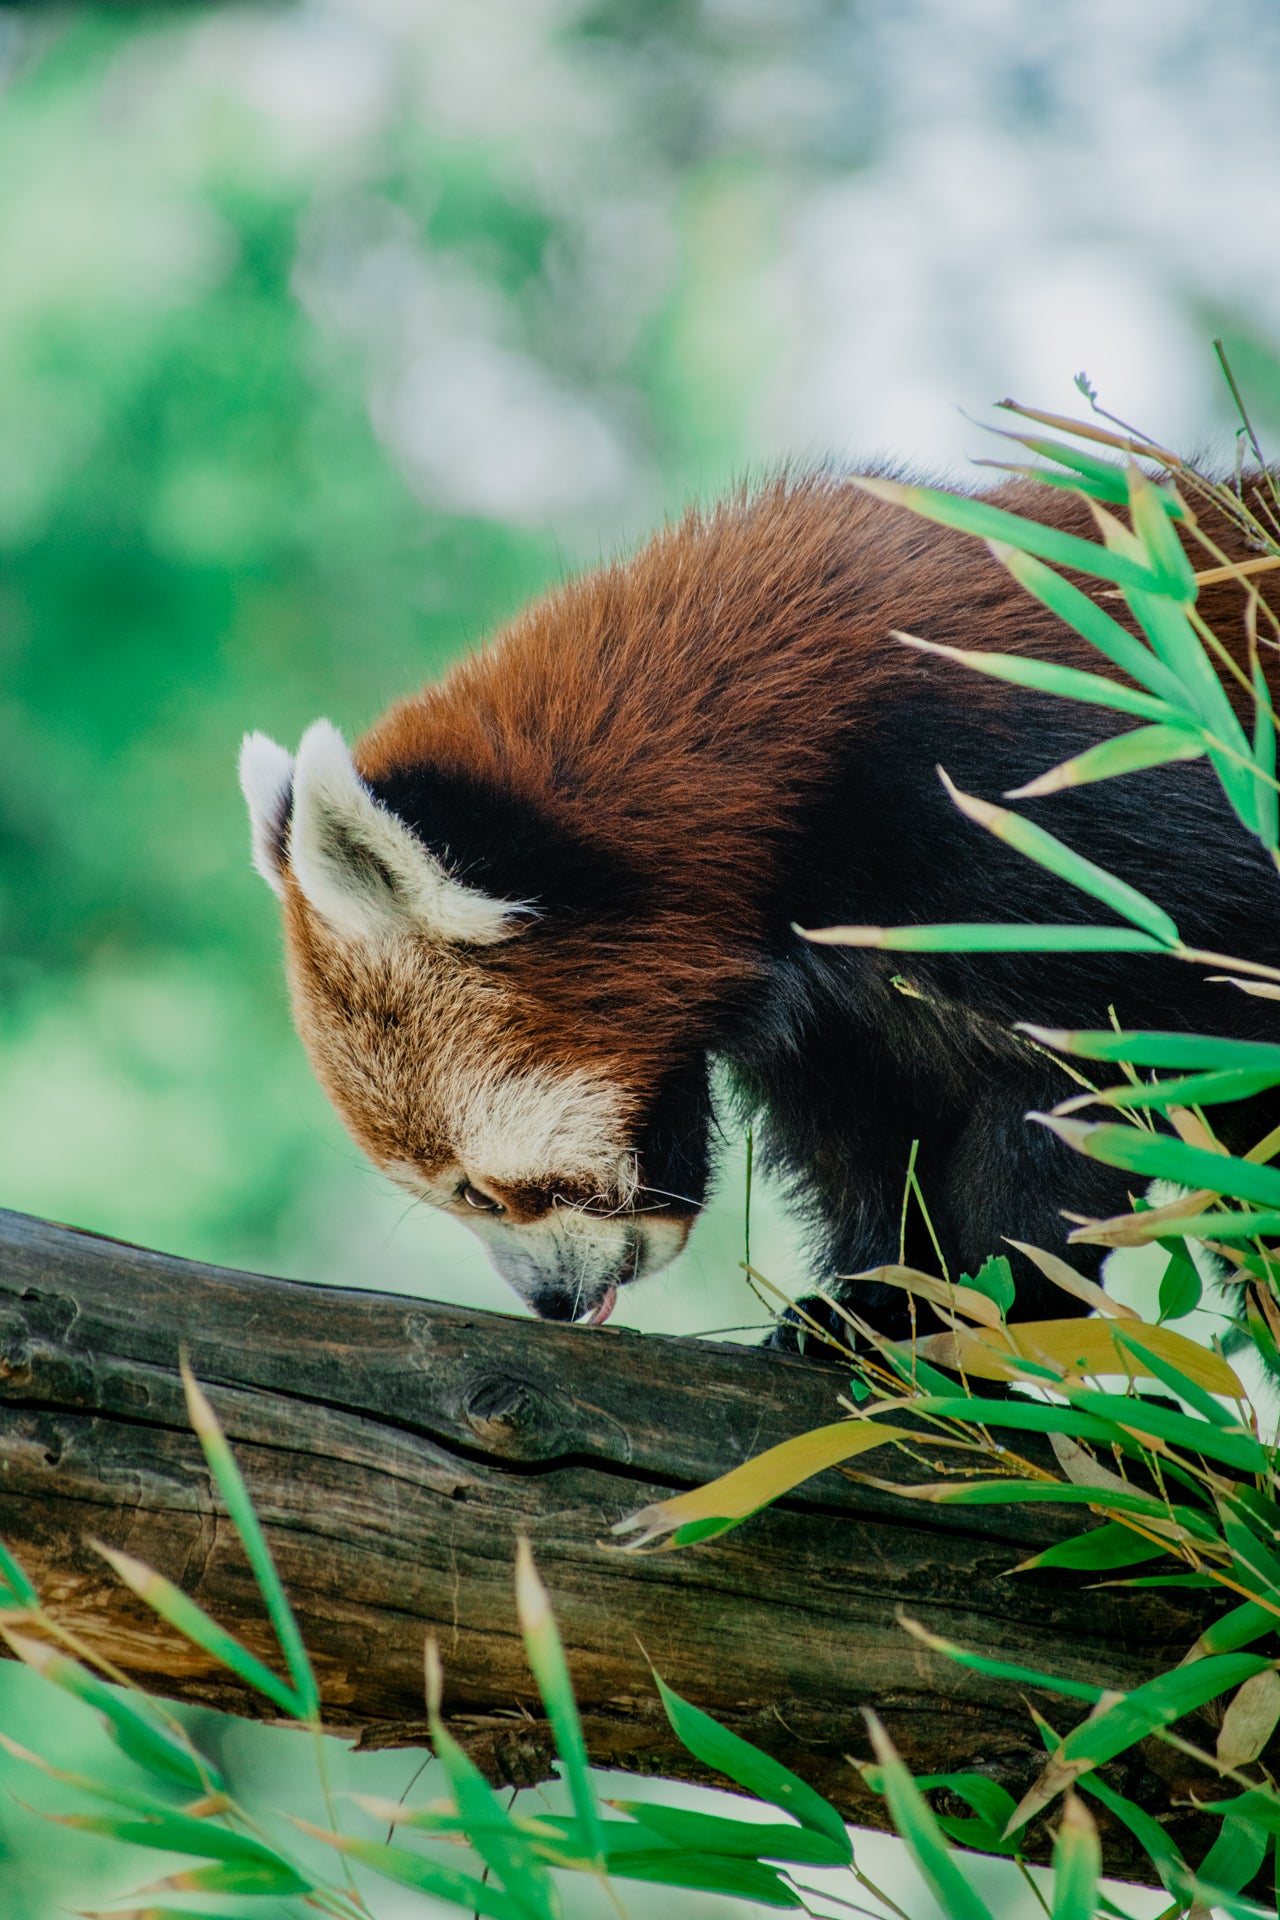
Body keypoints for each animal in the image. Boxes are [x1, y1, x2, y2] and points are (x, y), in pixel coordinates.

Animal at [239, 478, 1280, 1344]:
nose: (554, 1303)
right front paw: (886, 1300)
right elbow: (868, 1144)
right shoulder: (839, 1013)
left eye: (481, 1194)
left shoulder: (1053, 806)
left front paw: (990, 1306)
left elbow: (1126, 1071)